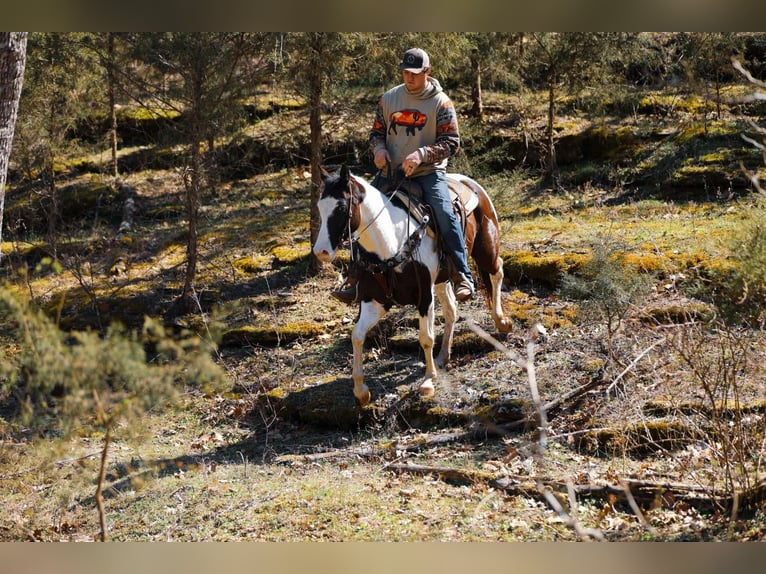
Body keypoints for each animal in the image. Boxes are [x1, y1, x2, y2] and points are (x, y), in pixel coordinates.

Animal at [312, 165, 511, 406]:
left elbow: (426, 338)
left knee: (497, 271)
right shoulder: (374, 301)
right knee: (451, 309)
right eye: (319, 207)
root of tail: (471, 184)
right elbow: (357, 336)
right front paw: (361, 390)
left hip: (486, 249)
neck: (391, 244)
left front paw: (428, 381)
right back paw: (443, 355)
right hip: (442, 279)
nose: (321, 252)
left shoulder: (424, 296)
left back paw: (502, 321)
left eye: (341, 207)